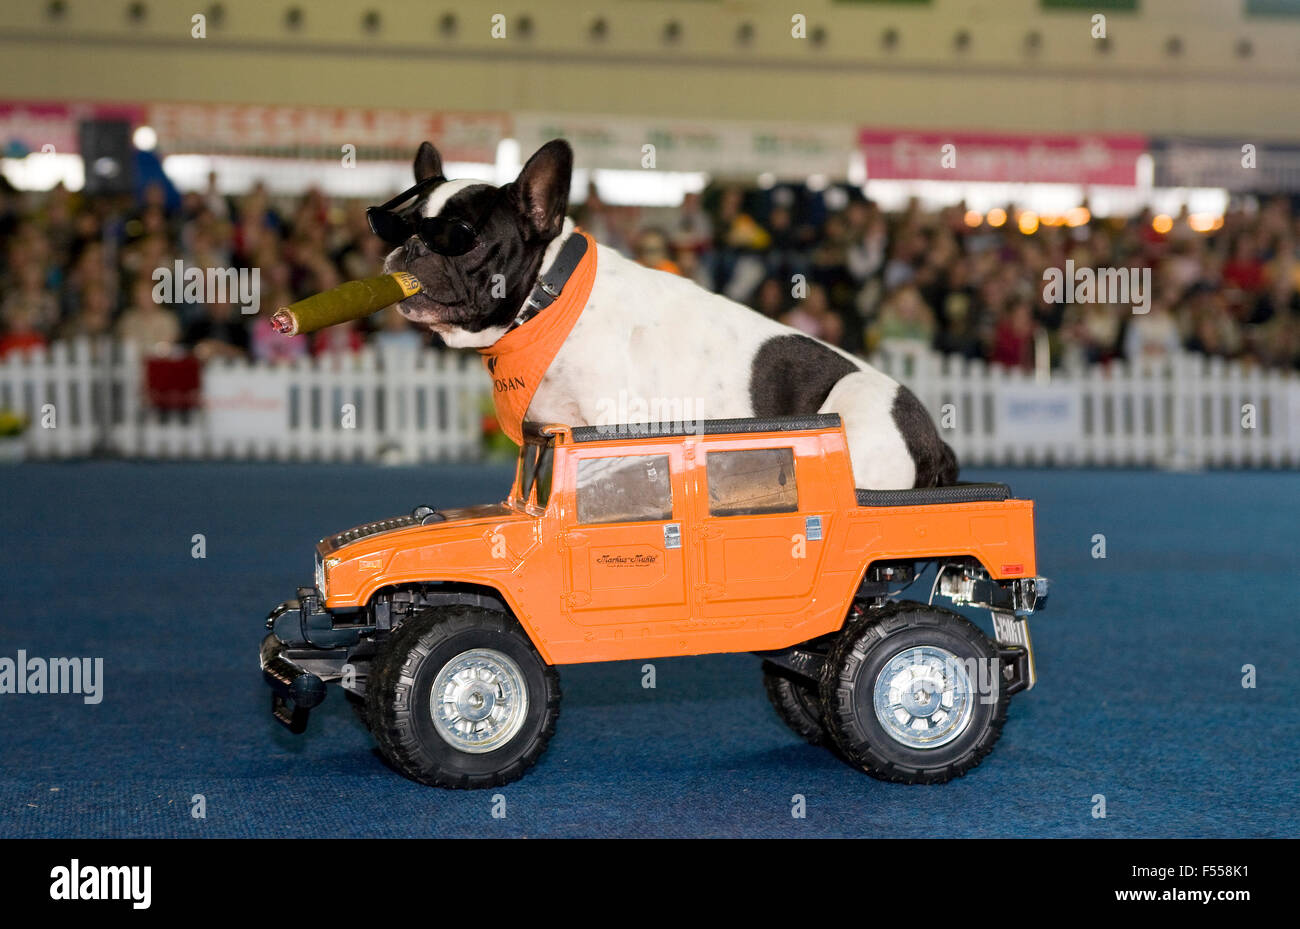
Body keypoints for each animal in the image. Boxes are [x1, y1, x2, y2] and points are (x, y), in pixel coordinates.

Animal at [377, 141, 956, 491]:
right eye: (400, 226)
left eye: (464, 240)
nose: (410, 248)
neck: (547, 302)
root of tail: (934, 439)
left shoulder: (614, 432)